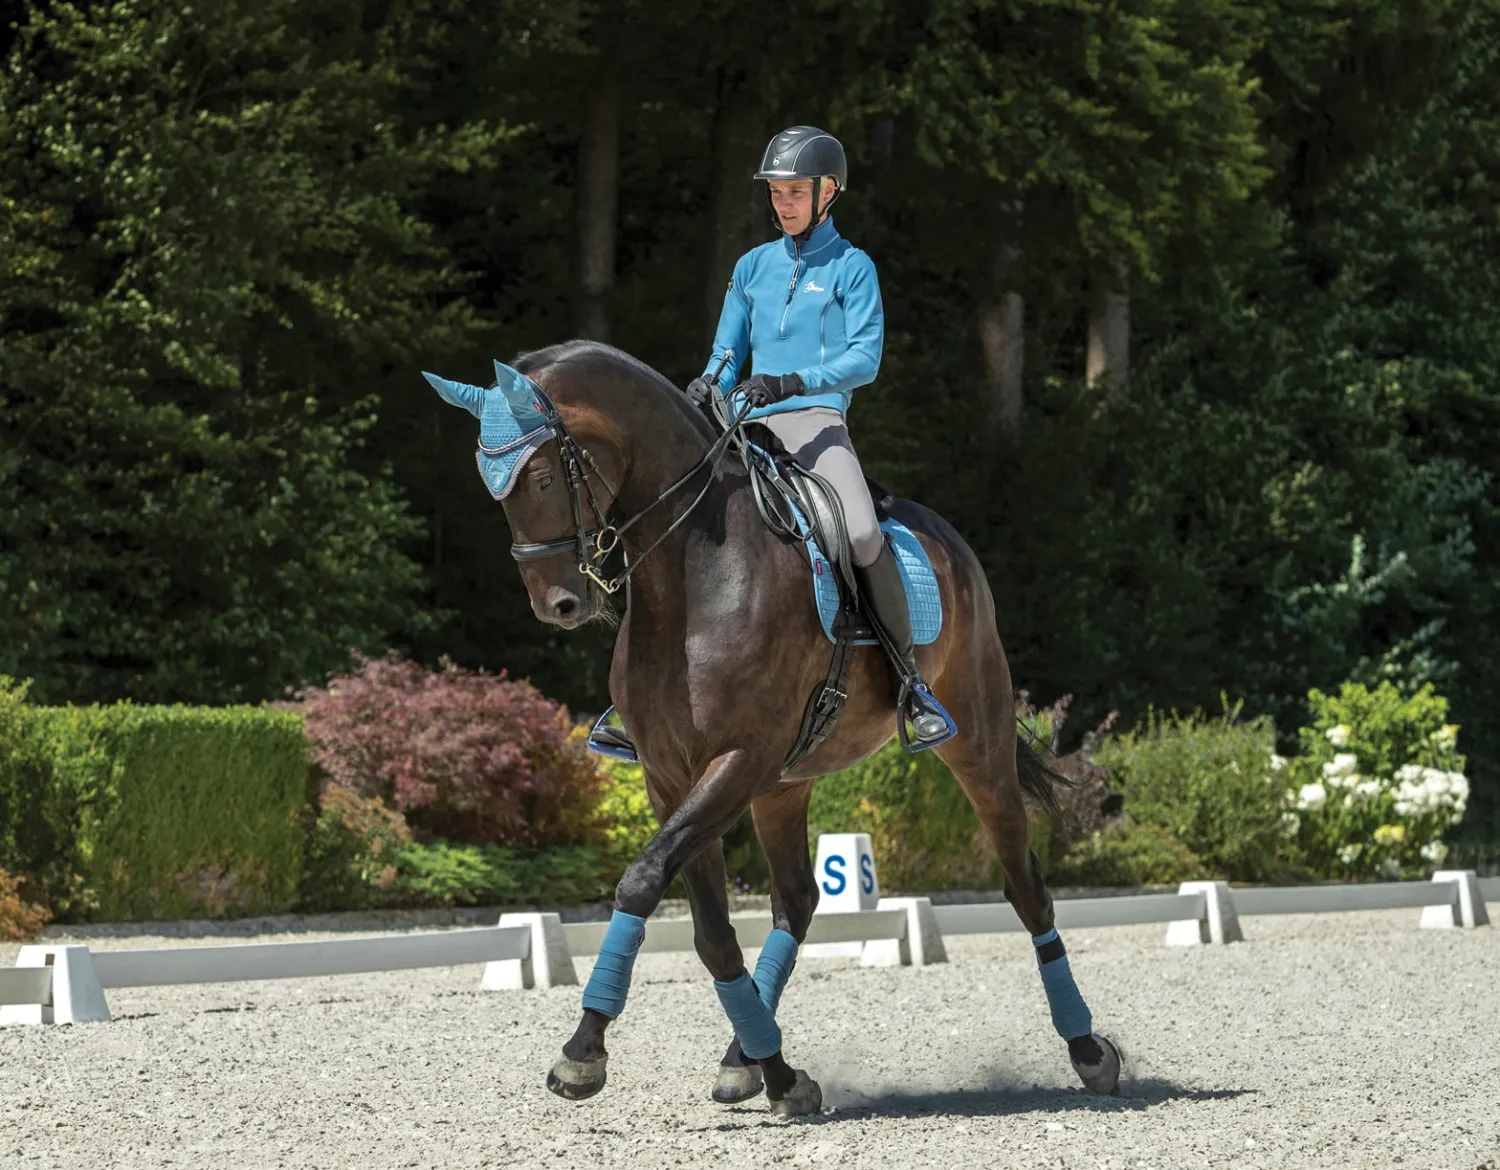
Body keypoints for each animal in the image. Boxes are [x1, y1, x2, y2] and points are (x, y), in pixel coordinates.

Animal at [423, 339, 1121, 1116]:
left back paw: (1090, 1052)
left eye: (543, 475)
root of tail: (945, 537)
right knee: (797, 902)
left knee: (1026, 888)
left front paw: (582, 1053)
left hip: (976, 745)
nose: (559, 605)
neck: (693, 580)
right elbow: (710, 931)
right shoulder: (672, 777)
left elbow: (641, 882)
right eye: (494, 488)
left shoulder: (738, 760)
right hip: (785, 786)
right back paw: (747, 1059)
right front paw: (776, 1073)